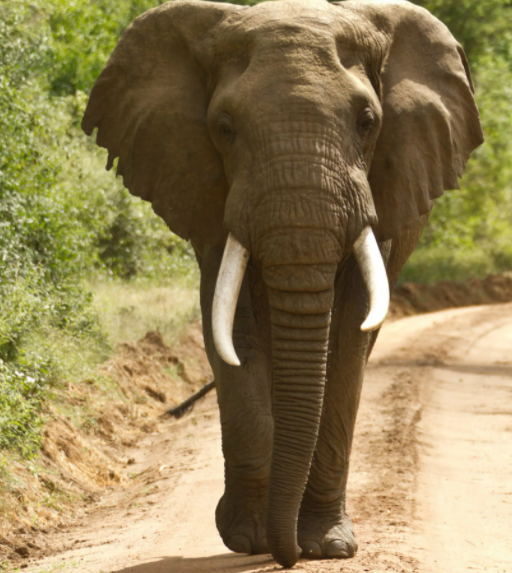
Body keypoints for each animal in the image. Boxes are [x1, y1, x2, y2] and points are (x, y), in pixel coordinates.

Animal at [82, 0, 482, 564]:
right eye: (224, 127)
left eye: (368, 122)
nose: (286, 554)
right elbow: (233, 329)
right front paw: (248, 540)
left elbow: (349, 336)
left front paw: (328, 545)